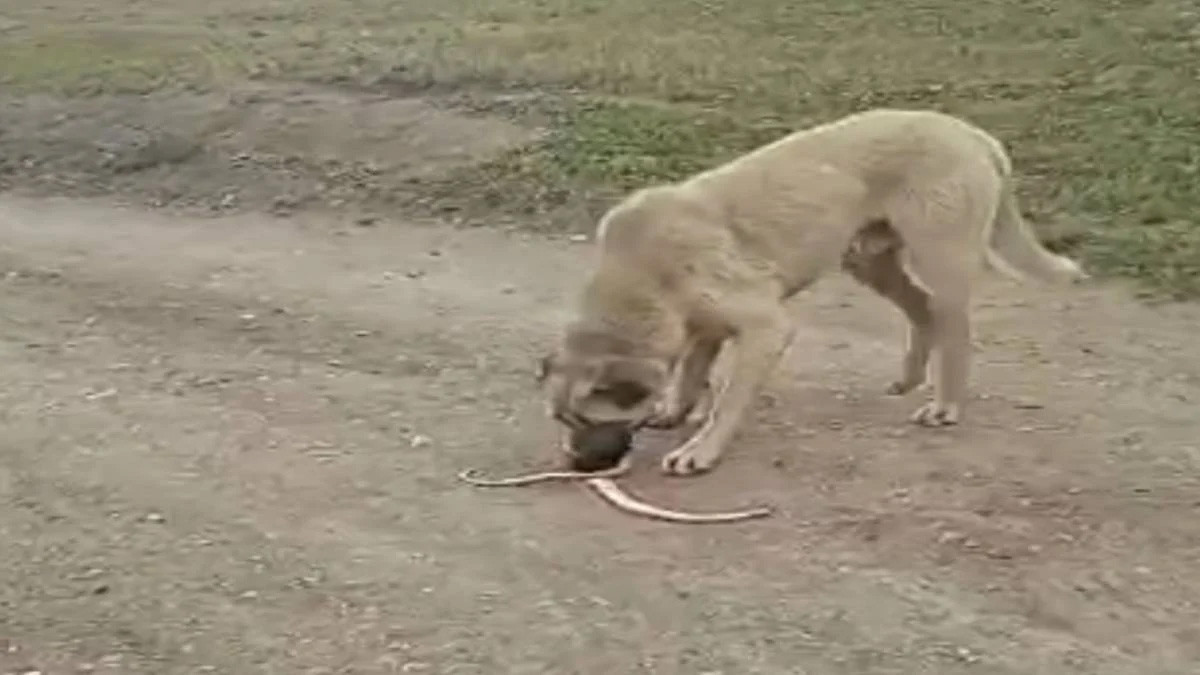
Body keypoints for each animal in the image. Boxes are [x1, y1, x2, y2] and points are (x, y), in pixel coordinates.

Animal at [542, 107, 1089, 473]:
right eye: (562, 420)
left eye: (587, 421)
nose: (573, 464)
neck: (640, 277)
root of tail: (969, 131)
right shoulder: (701, 326)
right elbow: (691, 373)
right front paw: (676, 410)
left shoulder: (765, 327)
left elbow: (727, 401)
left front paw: (701, 449)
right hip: (868, 259)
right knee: (922, 309)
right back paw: (910, 377)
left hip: (941, 259)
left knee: (956, 331)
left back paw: (945, 405)